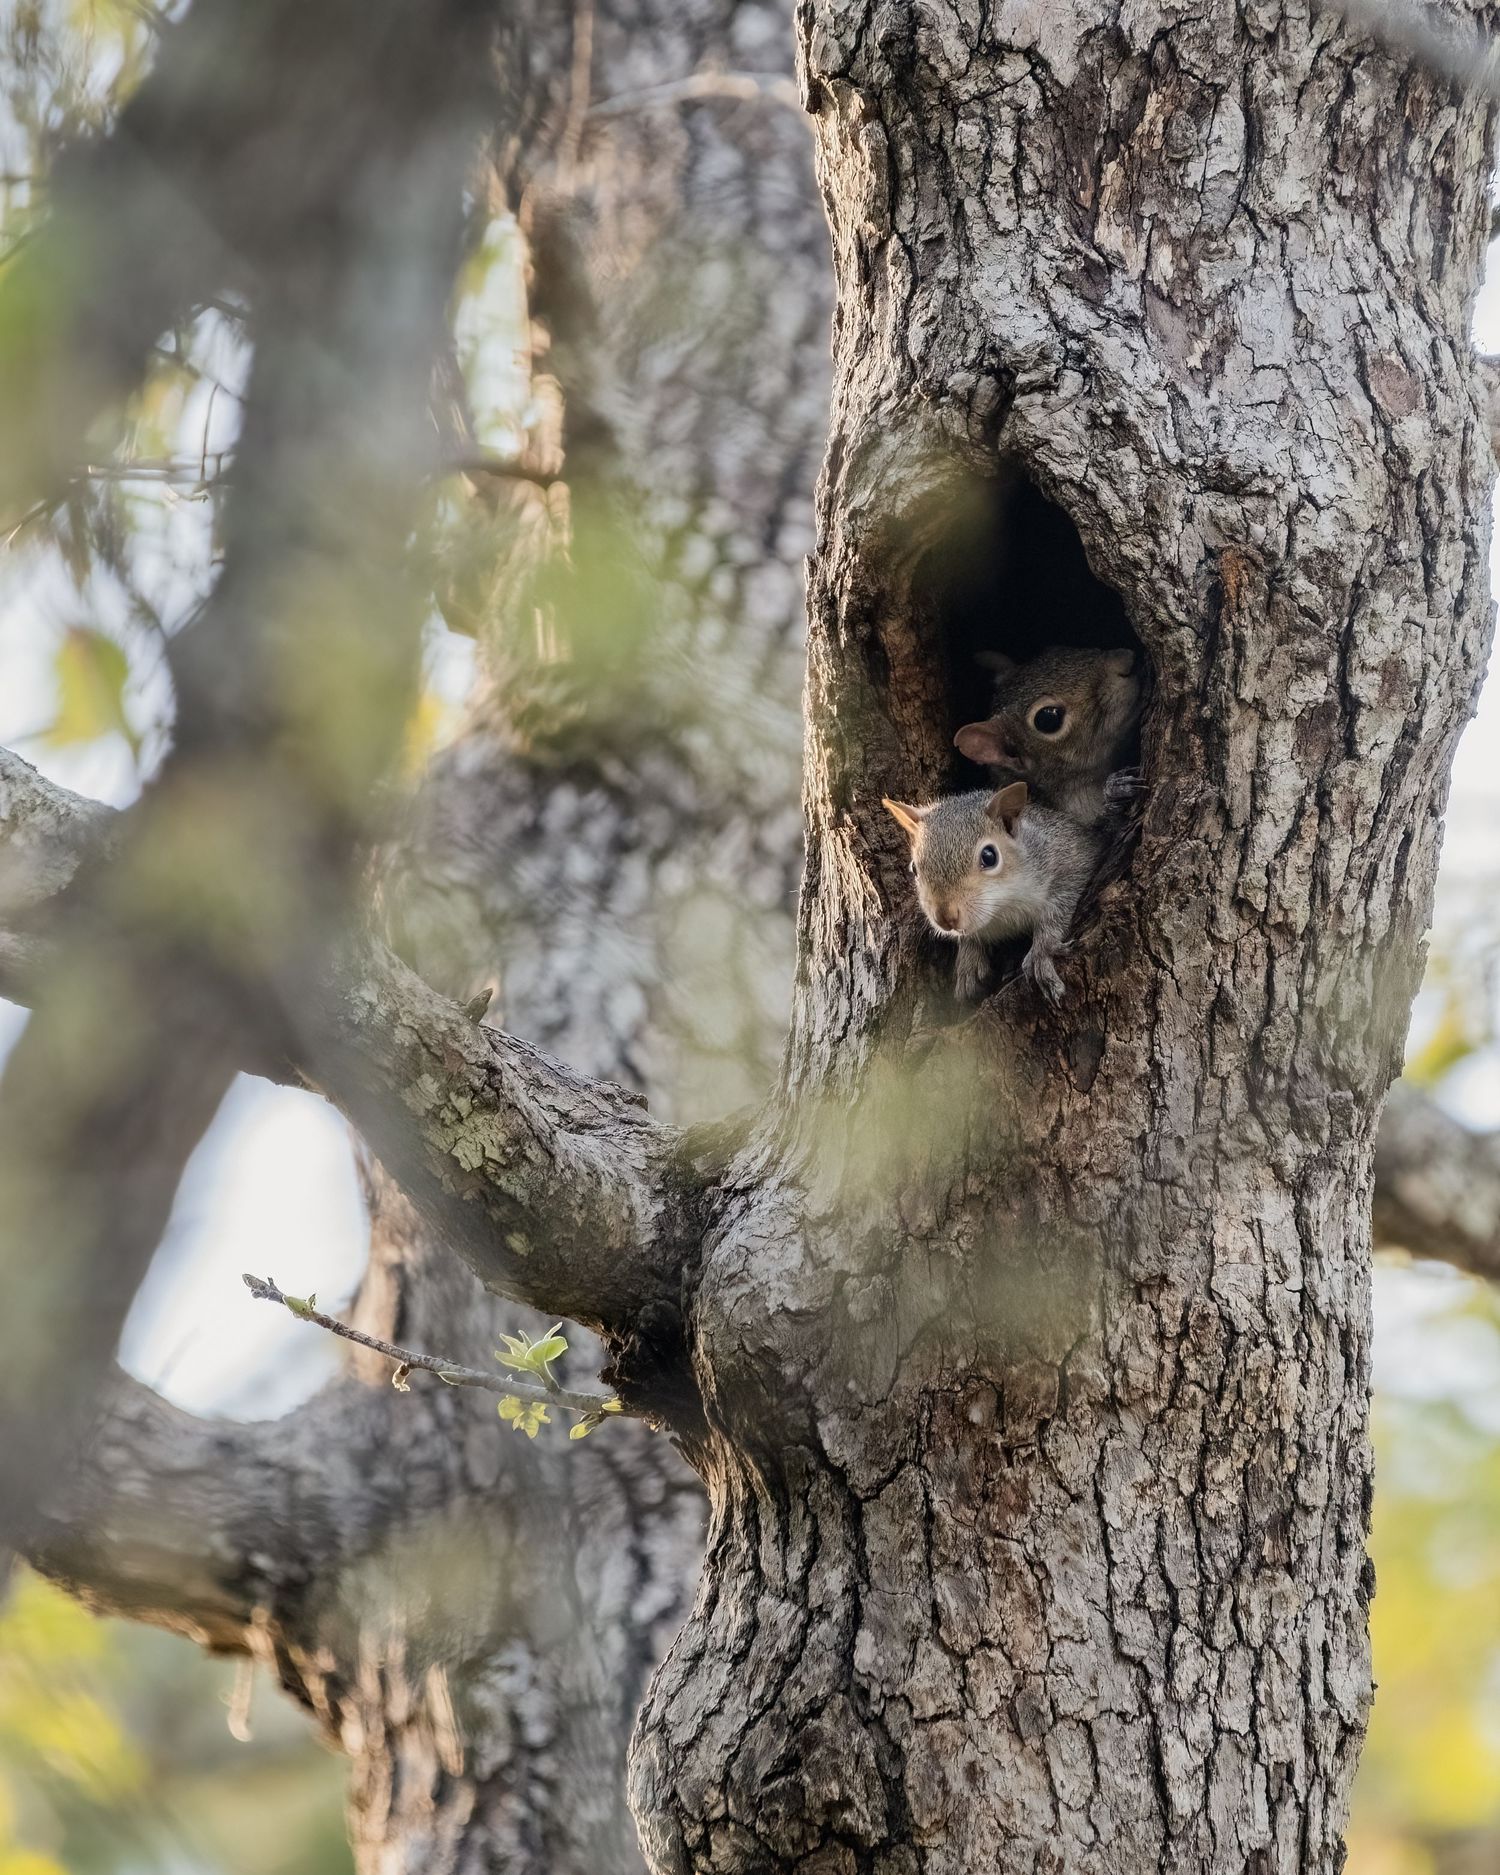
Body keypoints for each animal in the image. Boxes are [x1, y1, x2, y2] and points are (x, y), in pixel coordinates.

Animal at [882, 781, 1102, 1004]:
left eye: (989, 856)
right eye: (914, 868)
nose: (945, 917)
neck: (1003, 909)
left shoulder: (1071, 858)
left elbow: (1056, 910)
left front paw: (1042, 952)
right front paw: (968, 961)